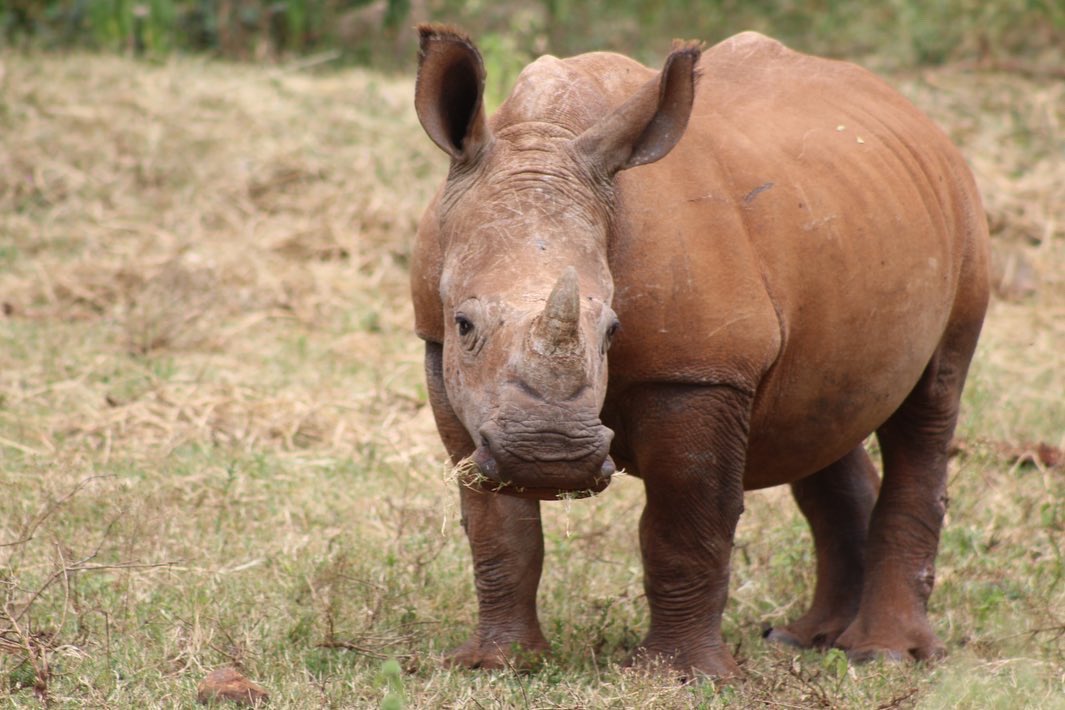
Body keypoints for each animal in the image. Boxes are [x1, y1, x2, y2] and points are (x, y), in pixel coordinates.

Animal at [411, 24, 989, 678]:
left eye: (612, 330)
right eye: (464, 324)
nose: (549, 457)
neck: (545, 135)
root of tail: (919, 117)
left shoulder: (700, 372)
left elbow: (685, 521)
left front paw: (684, 676)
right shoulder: (438, 350)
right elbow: (496, 523)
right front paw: (496, 664)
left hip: (960, 217)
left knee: (929, 406)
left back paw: (884, 656)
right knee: (821, 417)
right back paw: (807, 641)